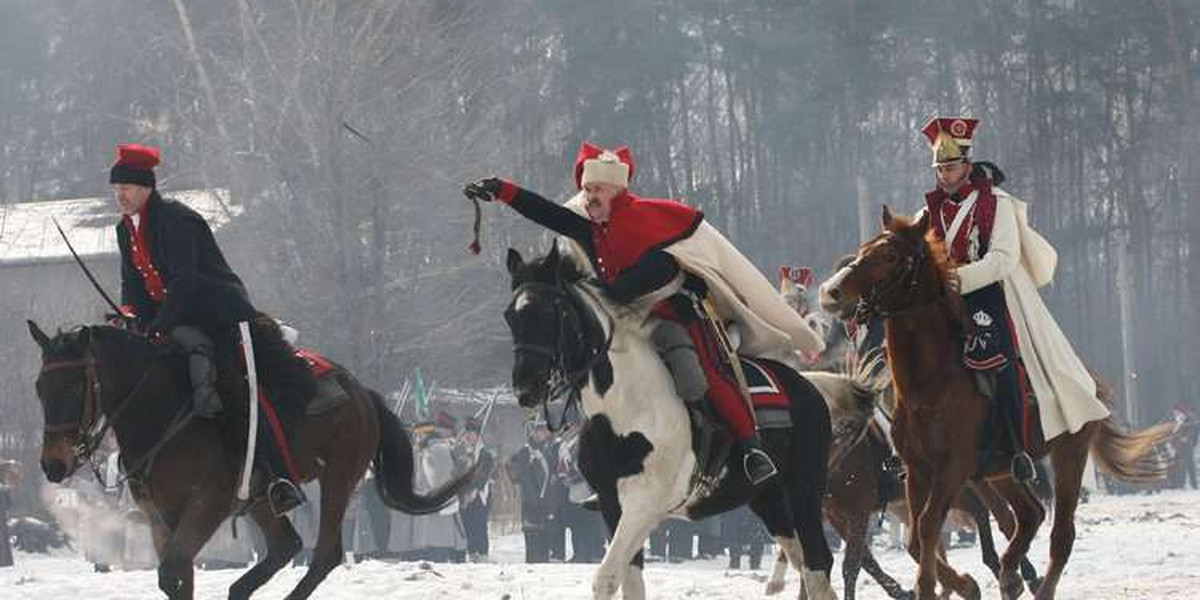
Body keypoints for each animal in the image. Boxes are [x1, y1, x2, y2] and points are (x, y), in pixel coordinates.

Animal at [25, 321, 470, 597]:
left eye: (73, 388)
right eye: (40, 388)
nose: (53, 464)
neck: (165, 414)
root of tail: (361, 392)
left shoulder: (207, 505)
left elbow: (174, 571)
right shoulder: (160, 517)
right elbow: (177, 577)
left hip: (338, 479)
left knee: (322, 555)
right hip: (261, 499)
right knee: (286, 546)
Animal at [504, 242, 835, 600]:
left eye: (551, 311)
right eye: (510, 316)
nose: (525, 388)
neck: (624, 405)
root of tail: (810, 388)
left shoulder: (644, 504)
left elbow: (606, 576)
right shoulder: (612, 504)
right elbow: (630, 581)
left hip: (803, 492)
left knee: (817, 564)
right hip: (768, 498)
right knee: (803, 562)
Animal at [816, 207, 1171, 600]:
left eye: (890, 255)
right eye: (863, 249)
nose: (831, 292)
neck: (929, 385)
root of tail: (1088, 379)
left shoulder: (950, 470)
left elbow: (927, 527)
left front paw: (938, 585)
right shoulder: (918, 472)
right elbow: (915, 540)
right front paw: (958, 582)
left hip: (1069, 454)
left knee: (1060, 535)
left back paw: (1032, 582)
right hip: (999, 471)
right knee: (1029, 515)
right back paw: (1010, 574)